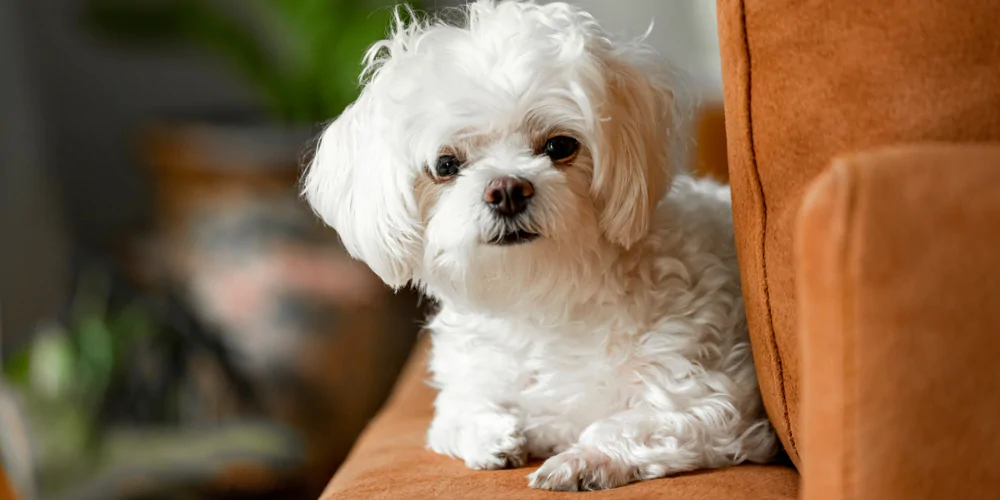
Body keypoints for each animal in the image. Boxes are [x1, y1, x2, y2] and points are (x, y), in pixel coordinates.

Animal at [300, 0, 776, 492]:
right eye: (446, 165)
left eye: (560, 145)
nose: (507, 189)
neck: (543, 296)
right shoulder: (464, 387)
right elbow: (456, 415)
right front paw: (490, 435)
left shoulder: (708, 402)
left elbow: (629, 424)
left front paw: (582, 460)